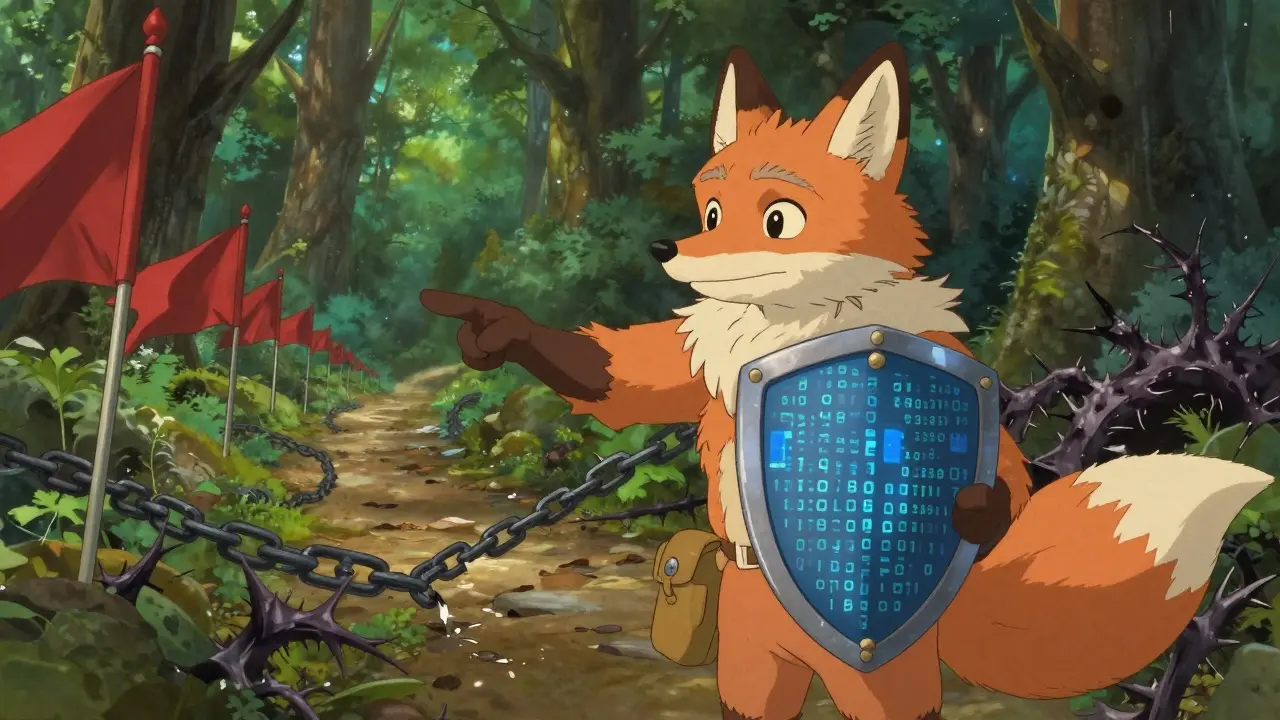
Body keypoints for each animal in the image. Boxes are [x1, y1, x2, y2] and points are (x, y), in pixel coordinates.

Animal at [420, 43, 1275, 720]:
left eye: (777, 219)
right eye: (711, 207)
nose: (669, 247)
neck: (798, 321)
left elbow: (1005, 471)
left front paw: (976, 506)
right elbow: (622, 376)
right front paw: (497, 327)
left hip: (884, 674)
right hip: (754, 651)